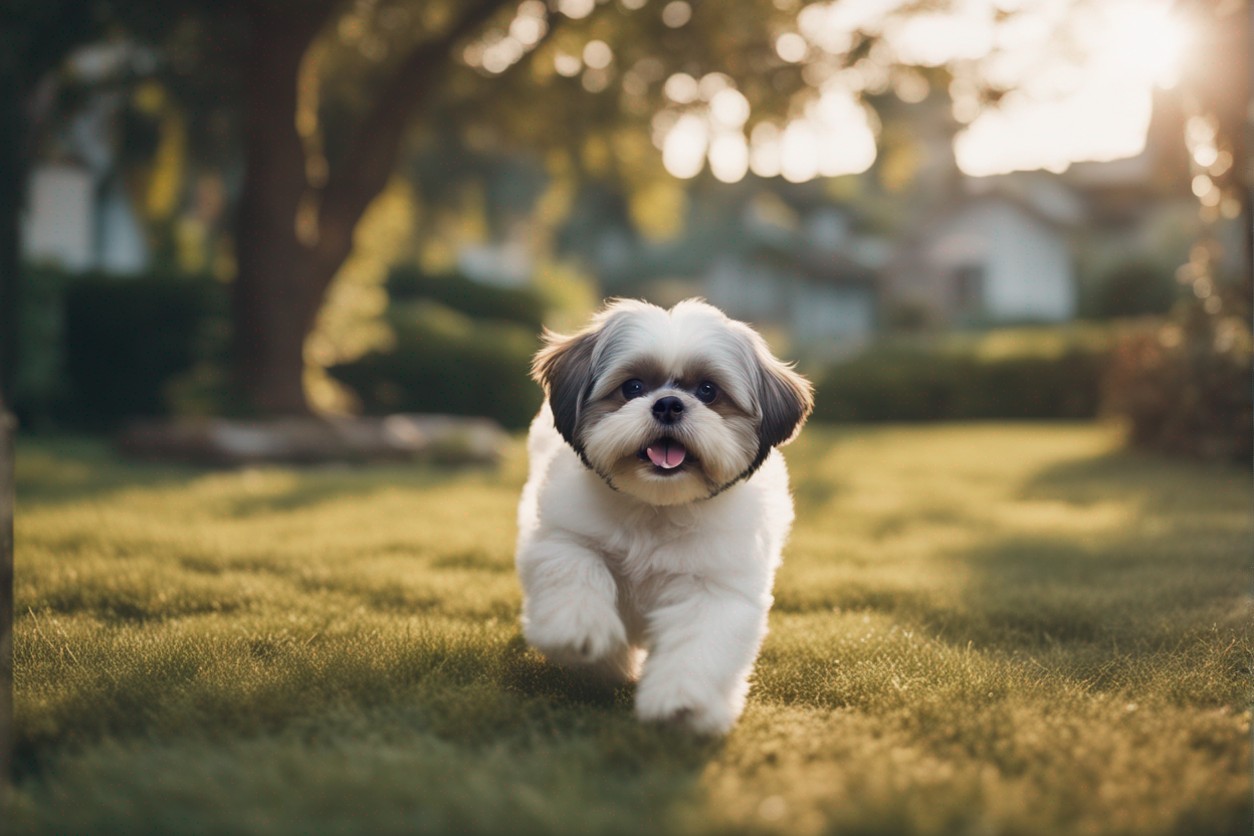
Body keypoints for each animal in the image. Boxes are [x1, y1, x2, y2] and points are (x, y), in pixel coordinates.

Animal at [516, 299, 817, 731]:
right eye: (633, 387)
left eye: (708, 391)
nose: (669, 404)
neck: (656, 506)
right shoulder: (563, 535)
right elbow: (576, 567)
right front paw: (580, 632)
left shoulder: (716, 588)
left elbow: (697, 643)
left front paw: (682, 702)